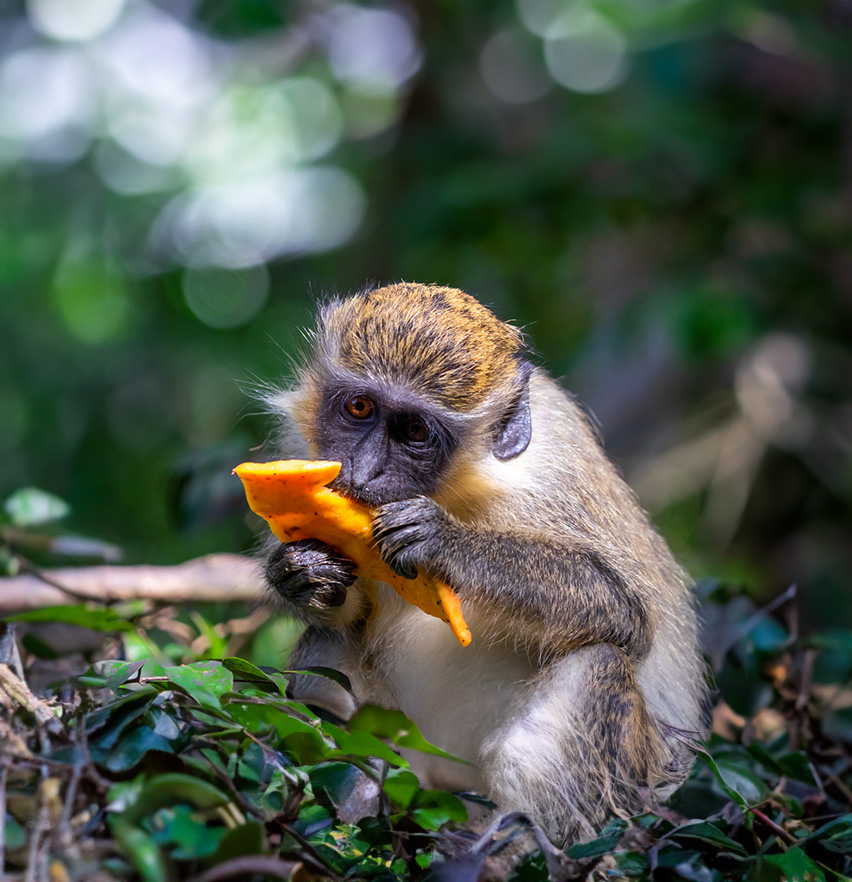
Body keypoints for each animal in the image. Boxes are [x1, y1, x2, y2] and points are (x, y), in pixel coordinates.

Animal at [261, 282, 709, 844]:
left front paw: (447, 543)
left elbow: (625, 613)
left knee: (598, 662)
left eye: (415, 432)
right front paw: (301, 571)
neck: (461, 490)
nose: (362, 473)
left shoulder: (550, 478)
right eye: (359, 407)